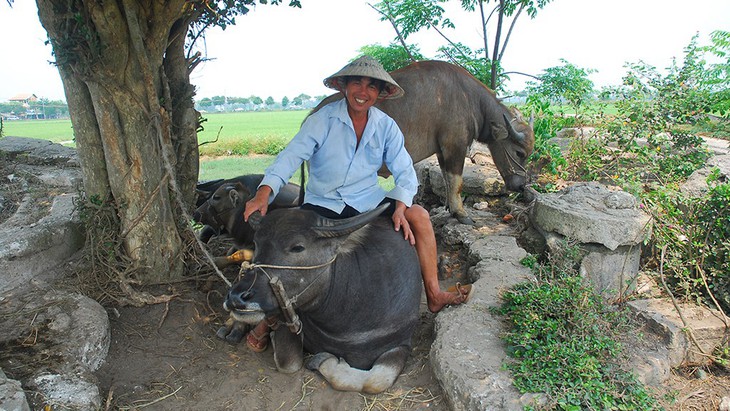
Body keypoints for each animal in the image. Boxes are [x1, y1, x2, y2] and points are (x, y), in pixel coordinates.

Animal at [223, 206, 420, 396]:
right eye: (257, 243)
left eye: (297, 247)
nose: (235, 297)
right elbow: (289, 363)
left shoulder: (401, 343)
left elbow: (376, 380)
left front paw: (323, 360)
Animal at [310, 59, 532, 224]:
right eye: (519, 153)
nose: (521, 186)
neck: (469, 98)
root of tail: (312, 114)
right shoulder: (455, 146)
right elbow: (457, 182)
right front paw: (461, 213)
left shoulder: (443, 151)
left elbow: (447, 179)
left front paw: (450, 208)